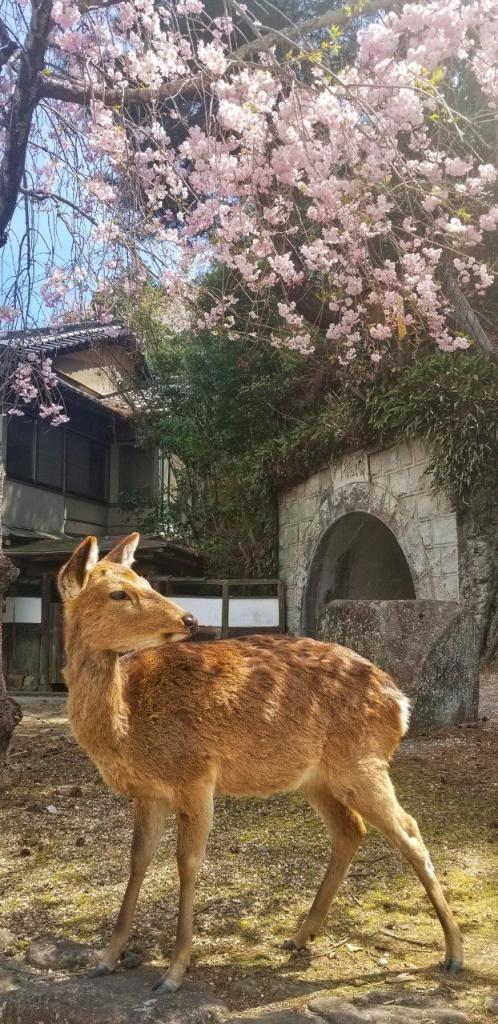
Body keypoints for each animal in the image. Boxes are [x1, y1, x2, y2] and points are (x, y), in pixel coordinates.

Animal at [57, 536, 463, 991]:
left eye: (144, 581)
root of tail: (401, 704)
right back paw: (301, 936)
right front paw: (106, 958)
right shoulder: (149, 792)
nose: (189, 617)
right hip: (317, 778)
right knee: (350, 830)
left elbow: (187, 862)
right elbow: (138, 858)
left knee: (408, 830)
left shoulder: (195, 775)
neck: (126, 727)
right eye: (119, 592)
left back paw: (454, 953)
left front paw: (174, 973)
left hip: (362, 761)